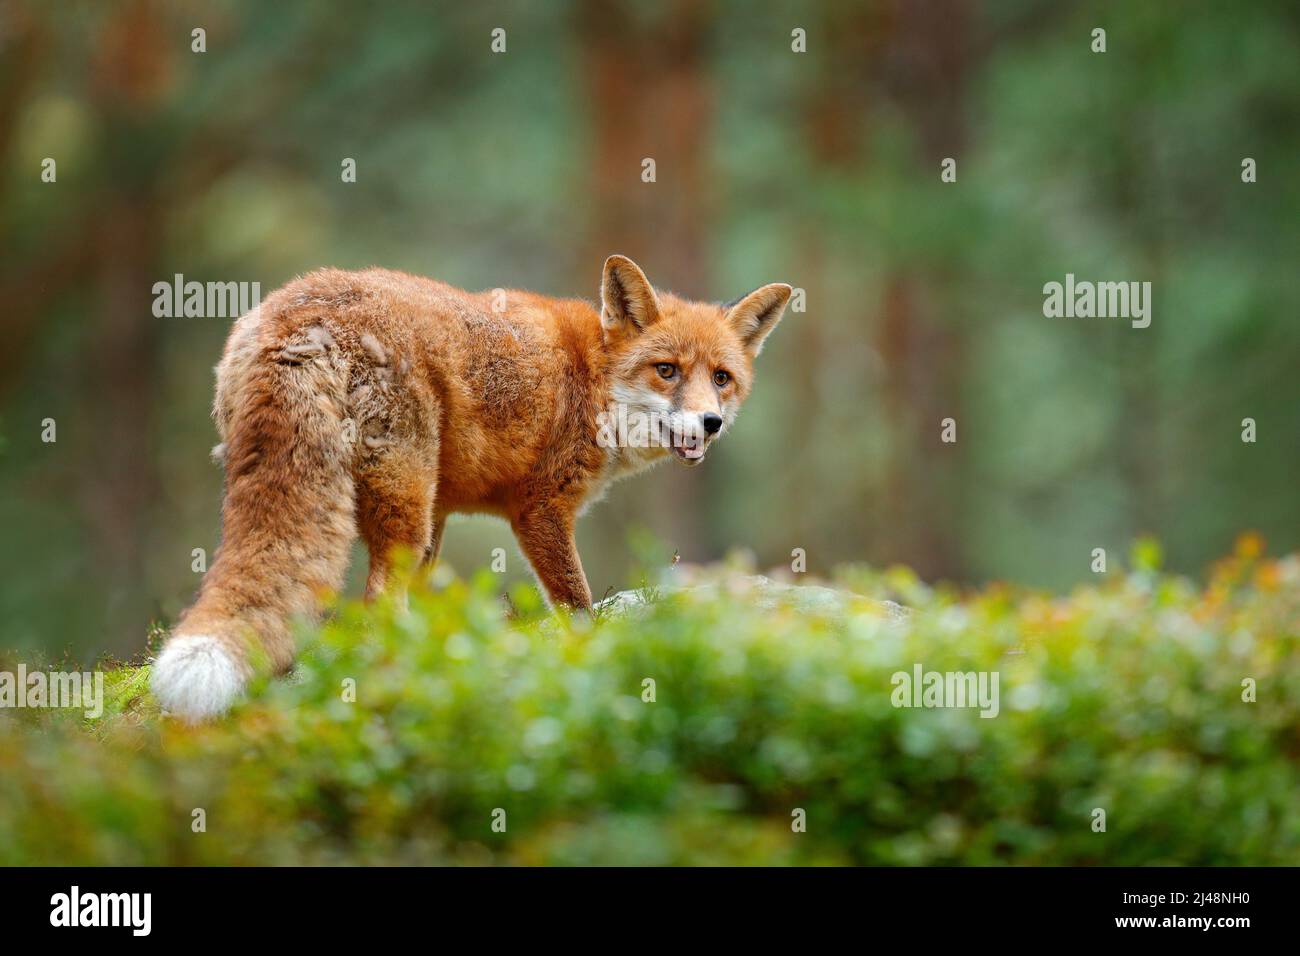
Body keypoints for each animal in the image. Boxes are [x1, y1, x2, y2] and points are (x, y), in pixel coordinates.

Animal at [147, 254, 785, 717]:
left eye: (722, 378)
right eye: (667, 370)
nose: (711, 422)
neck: (592, 379)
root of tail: (296, 316)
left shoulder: (445, 512)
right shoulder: (541, 509)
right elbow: (577, 607)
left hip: (405, 504)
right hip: (404, 501)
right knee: (378, 601)